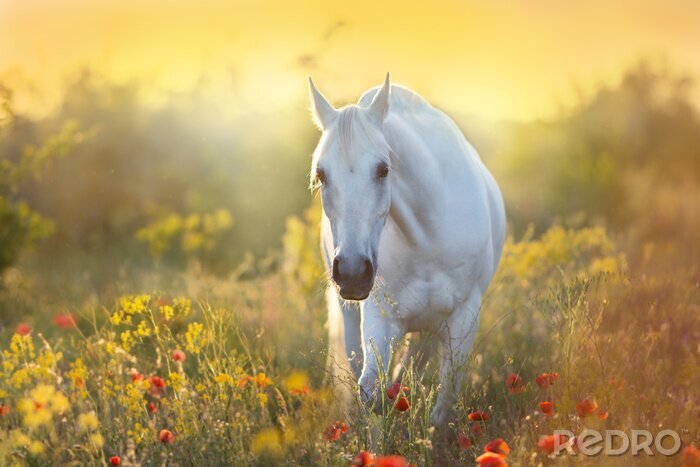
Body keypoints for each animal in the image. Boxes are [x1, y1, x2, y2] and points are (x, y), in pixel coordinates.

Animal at [308, 73, 506, 428]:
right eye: (321, 174)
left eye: (383, 169)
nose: (353, 272)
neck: (426, 237)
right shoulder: (380, 316)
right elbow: (371, 390)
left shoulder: (464, 318)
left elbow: (444, 403)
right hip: (352, 316)